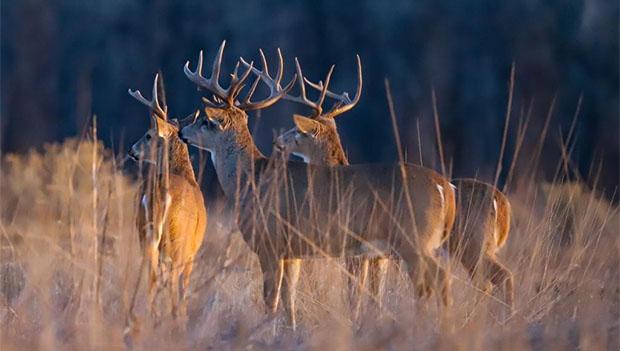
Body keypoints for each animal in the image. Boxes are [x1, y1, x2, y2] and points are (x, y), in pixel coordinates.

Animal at [126, 74, 208, 322]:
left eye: (148, 135)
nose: (131, 151)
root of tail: (160, 193)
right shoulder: (192, 251)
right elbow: (183, 287)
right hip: (177, 241)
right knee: (172, 282)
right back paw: (174, 320)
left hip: (146, 233)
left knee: (151, 277)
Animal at [179, 41, 456, 330]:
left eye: (205, 122)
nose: (181, 132)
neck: (250, 180)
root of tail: (445, 188)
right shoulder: (293, 251)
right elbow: (289, 297)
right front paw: (290, 330)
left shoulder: (269, 242)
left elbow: (271, 300)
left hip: (413, 239)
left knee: (439, 279)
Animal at [272, 62, 512, 310]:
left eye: (298, 130)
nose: (277, 142)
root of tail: (501, 202)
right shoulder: (380, 256)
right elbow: (375, 293)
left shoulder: (355, 252)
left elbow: (355, 294)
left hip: (470, 245)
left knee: (496, 279)